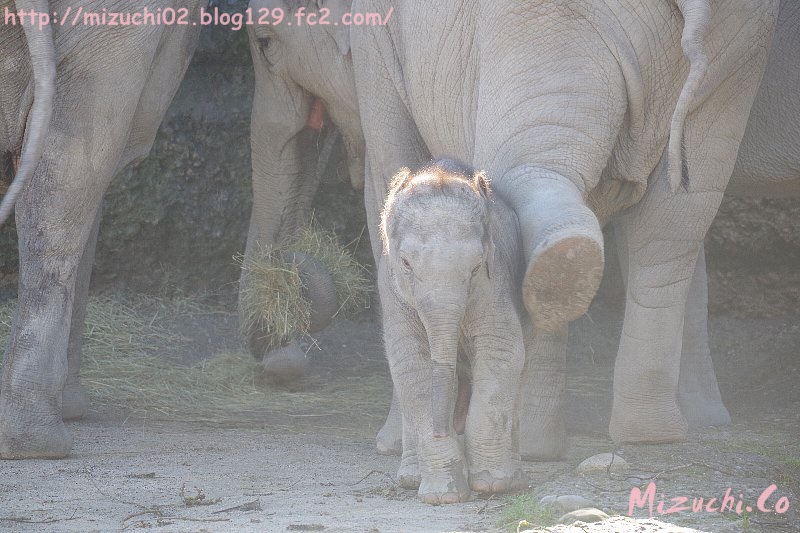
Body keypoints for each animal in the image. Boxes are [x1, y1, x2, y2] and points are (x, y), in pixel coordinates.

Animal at [378, 158, 527, 503]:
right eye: (406, 264)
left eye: (475, 267)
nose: (442, 429)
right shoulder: (391, 291)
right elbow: (410, 364)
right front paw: (443, 495)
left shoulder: (495, 281)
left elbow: (503, 349)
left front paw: (490, 484)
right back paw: (410, 477)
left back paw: (513, 476)